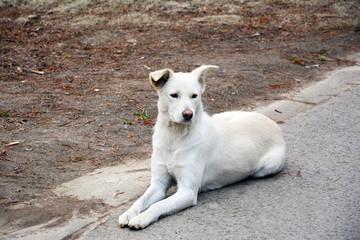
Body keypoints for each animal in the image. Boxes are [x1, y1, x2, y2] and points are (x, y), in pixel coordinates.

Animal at [119, 65, 286, 229]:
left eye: (194, 96)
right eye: (174, 95)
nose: (188, 114)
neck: (175, 137)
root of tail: (273, 123)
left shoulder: (187, 192)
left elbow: (158, 205)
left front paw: (142, 218)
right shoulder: (158, 184)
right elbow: (140, 200)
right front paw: (128, 214)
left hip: (268, 166)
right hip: (222, 115)